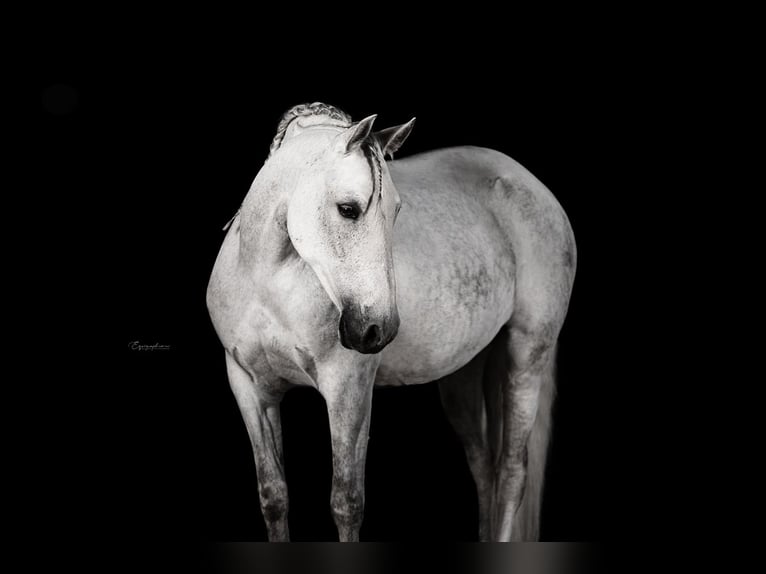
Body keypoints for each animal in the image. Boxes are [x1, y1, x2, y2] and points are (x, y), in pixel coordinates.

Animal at [207, 102, 580, 540]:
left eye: (396, 211)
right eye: (348, 209)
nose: (377, 330)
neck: (266, 280)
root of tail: (532, 184)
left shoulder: (348, 390)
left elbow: (347, 502)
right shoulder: (249, 387)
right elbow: (274, 496)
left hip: (526, 356)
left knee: (511, 472)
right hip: (464, 375)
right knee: (484, 468)